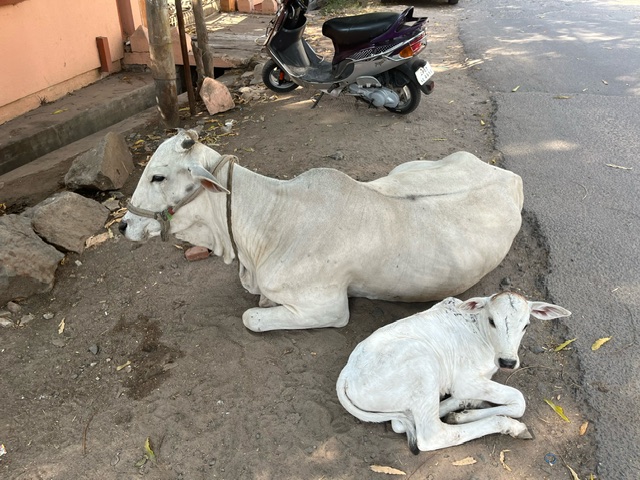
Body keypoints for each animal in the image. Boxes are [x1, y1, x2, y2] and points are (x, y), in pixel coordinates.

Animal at [336, 292, 572, 453]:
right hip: (423, 367)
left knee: (402, 422)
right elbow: (519, 401)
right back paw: (508, 426)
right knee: (431, 434)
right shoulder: (465, 381)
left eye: (526, 325)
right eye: (492, 321)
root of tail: (346, 373)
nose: (508, 361)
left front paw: (464, 411)